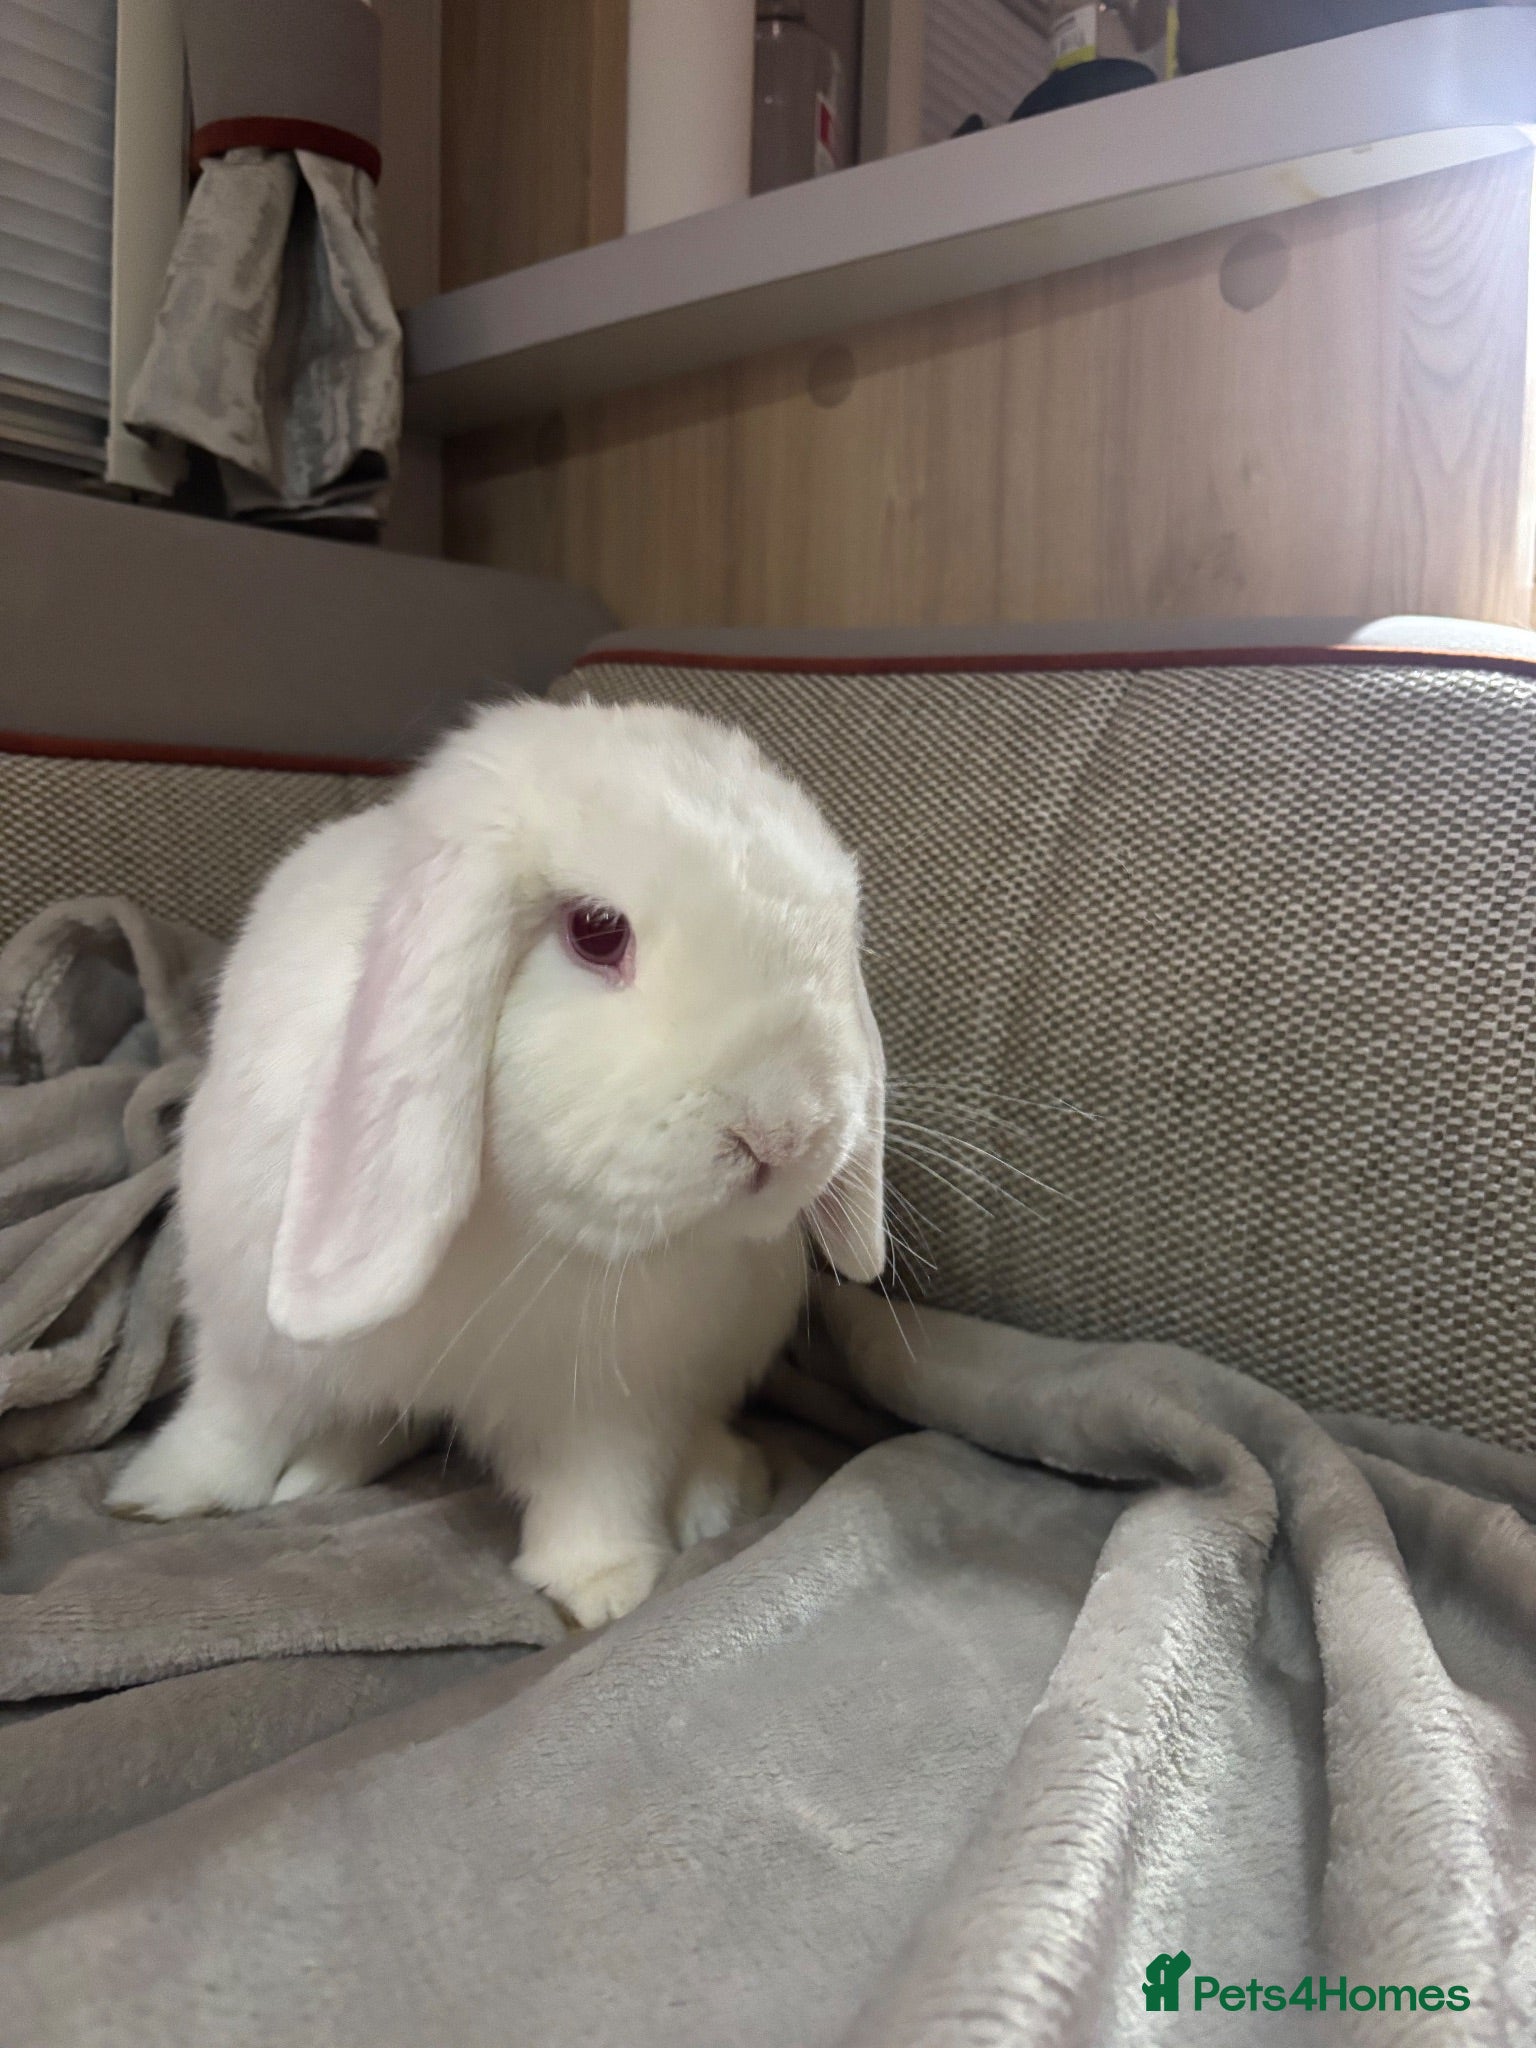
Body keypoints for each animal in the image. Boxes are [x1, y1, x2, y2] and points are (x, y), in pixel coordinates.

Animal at [107, 697, 885, 1627]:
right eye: (596, 932)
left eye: (835, 945)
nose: (783, 1135)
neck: (516, 1220)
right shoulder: (244, 1337)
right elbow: (230, 1419)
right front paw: (154, 1495)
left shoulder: (617, 1400)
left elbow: (600, 1490)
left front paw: (603, 1590)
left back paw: (715, 1491)